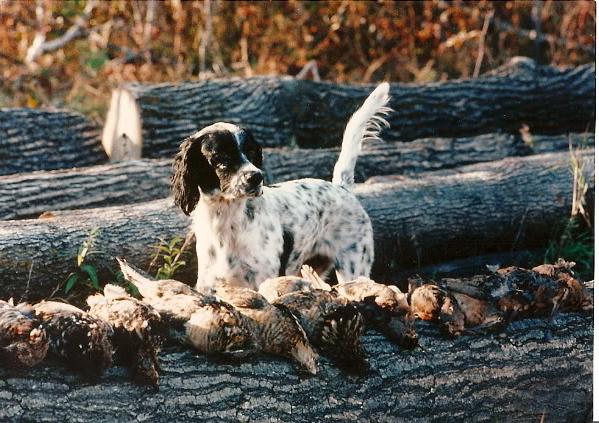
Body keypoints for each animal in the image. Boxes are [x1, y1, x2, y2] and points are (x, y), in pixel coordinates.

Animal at [171, 82, 392, 292]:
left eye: (252, 152)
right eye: (220, 158)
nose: (256, 177)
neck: (226, 218)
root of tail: (341, 188)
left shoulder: (264, 280)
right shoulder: (208, 284)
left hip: (353, 268)